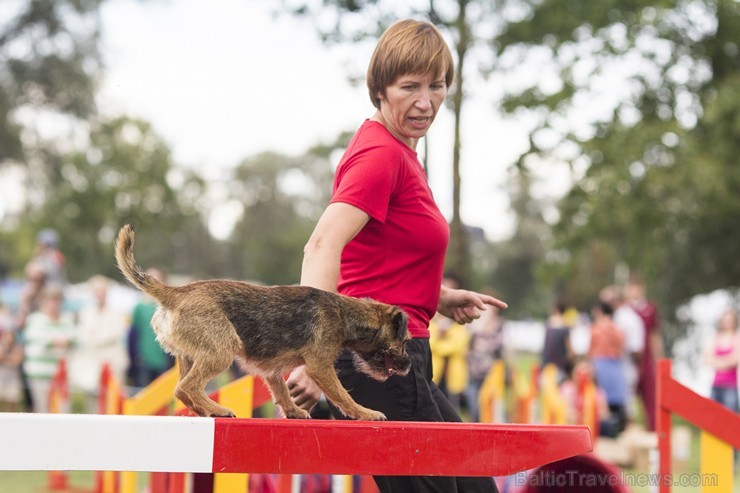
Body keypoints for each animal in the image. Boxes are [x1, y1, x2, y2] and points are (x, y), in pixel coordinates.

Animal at [115, 223, 410, 418]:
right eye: (405, 341)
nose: (408, 364)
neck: (345, 313)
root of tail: (176, 292)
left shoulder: (273, 371)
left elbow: (282, 392)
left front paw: (293, 411)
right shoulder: (320, 367)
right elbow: (342, 394)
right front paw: (365, 412)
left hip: (190, 356)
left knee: (181, 390)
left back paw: (206, 411)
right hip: (221, 351)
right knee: (187, 386)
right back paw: (217, 409)